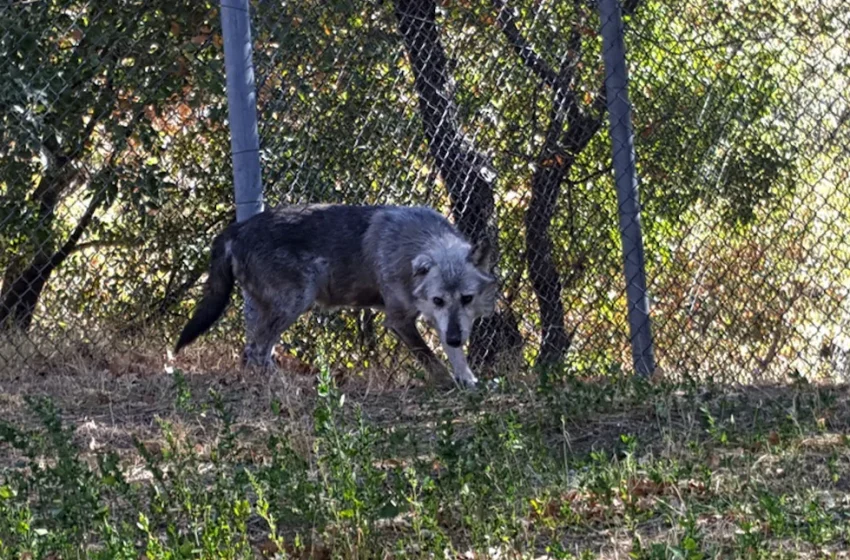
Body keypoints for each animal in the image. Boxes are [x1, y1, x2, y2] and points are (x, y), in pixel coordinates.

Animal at [176, 203, 500, 388]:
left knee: (252, 353)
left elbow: (454, 355)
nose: (456, 337)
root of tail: (236, 228)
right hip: (296, 302)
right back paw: (288, 384)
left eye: (467, 299)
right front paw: (450, 383)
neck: (416, 241)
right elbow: (431, 359)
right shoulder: (399, 321)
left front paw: (468, 379)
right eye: (438, 300)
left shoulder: (441, 322)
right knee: (256, 352)